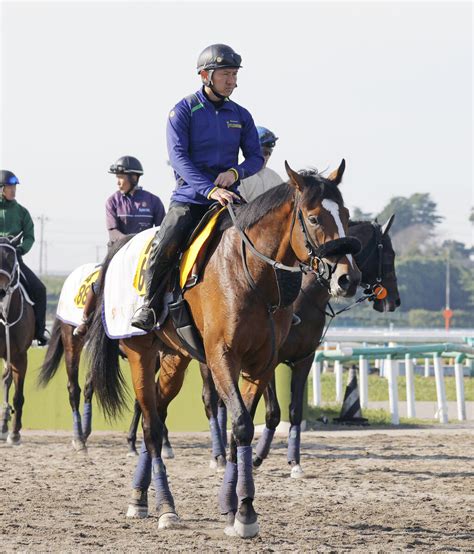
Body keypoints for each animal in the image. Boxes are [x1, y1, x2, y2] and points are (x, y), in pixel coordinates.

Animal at [88, 158, 360, 536]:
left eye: (345, 214)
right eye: (315, 217)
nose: (348, 279)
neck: (251, 274)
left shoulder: (261, 364)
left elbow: (237, 429)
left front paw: (232, 506)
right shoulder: (221, 359)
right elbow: (242, 424)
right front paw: (245, 512)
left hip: (174, 359)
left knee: (157, 412)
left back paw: (140, 495)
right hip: (141, 354)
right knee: (152, 426)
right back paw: (165, 507)